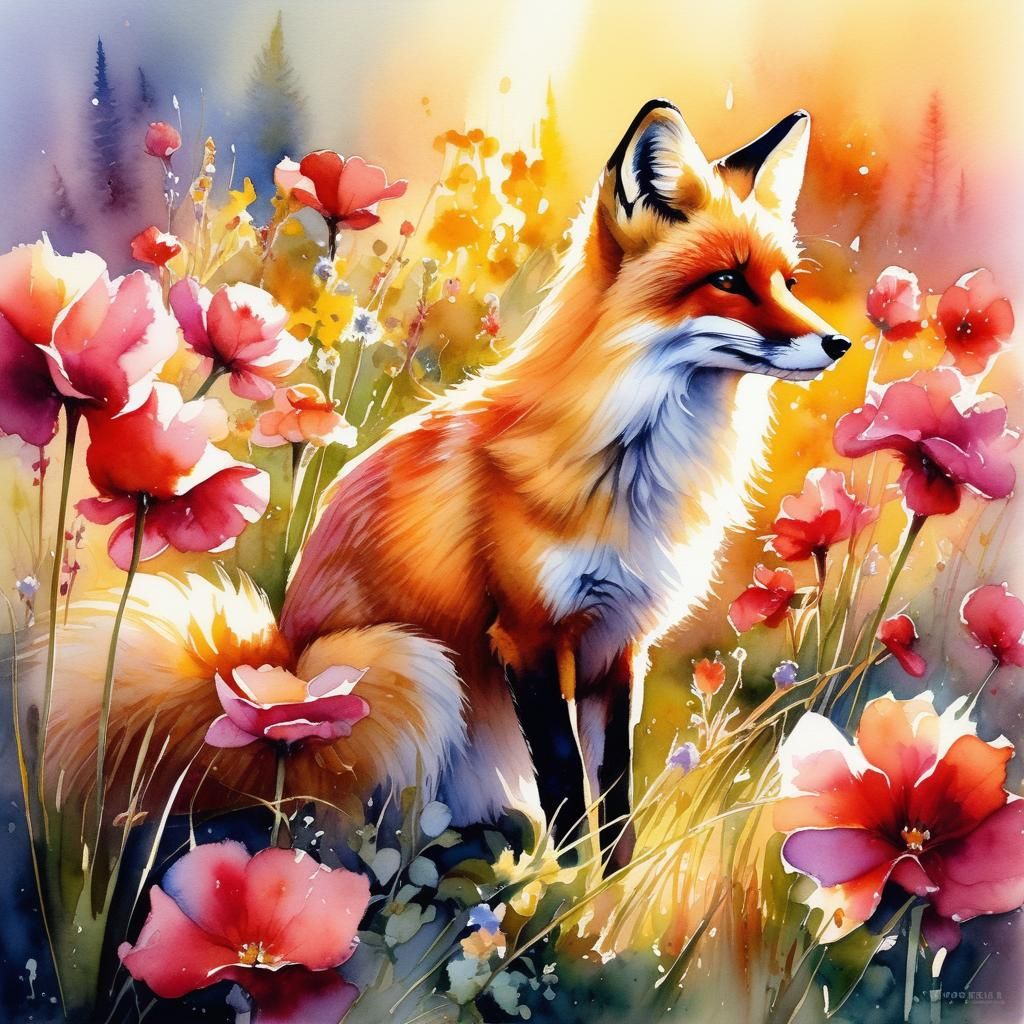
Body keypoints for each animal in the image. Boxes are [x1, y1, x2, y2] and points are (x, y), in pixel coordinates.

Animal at [48, 100, 848, 862]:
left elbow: (616, 803)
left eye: (786, 282)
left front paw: (613, 895)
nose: (838, 343)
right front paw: (569, 893)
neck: (630, 463)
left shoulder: (618, 645)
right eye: (726, 281)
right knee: (327, 833)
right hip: (404, 661)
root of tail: (253, 704)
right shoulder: (527, 635)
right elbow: (567, 792)